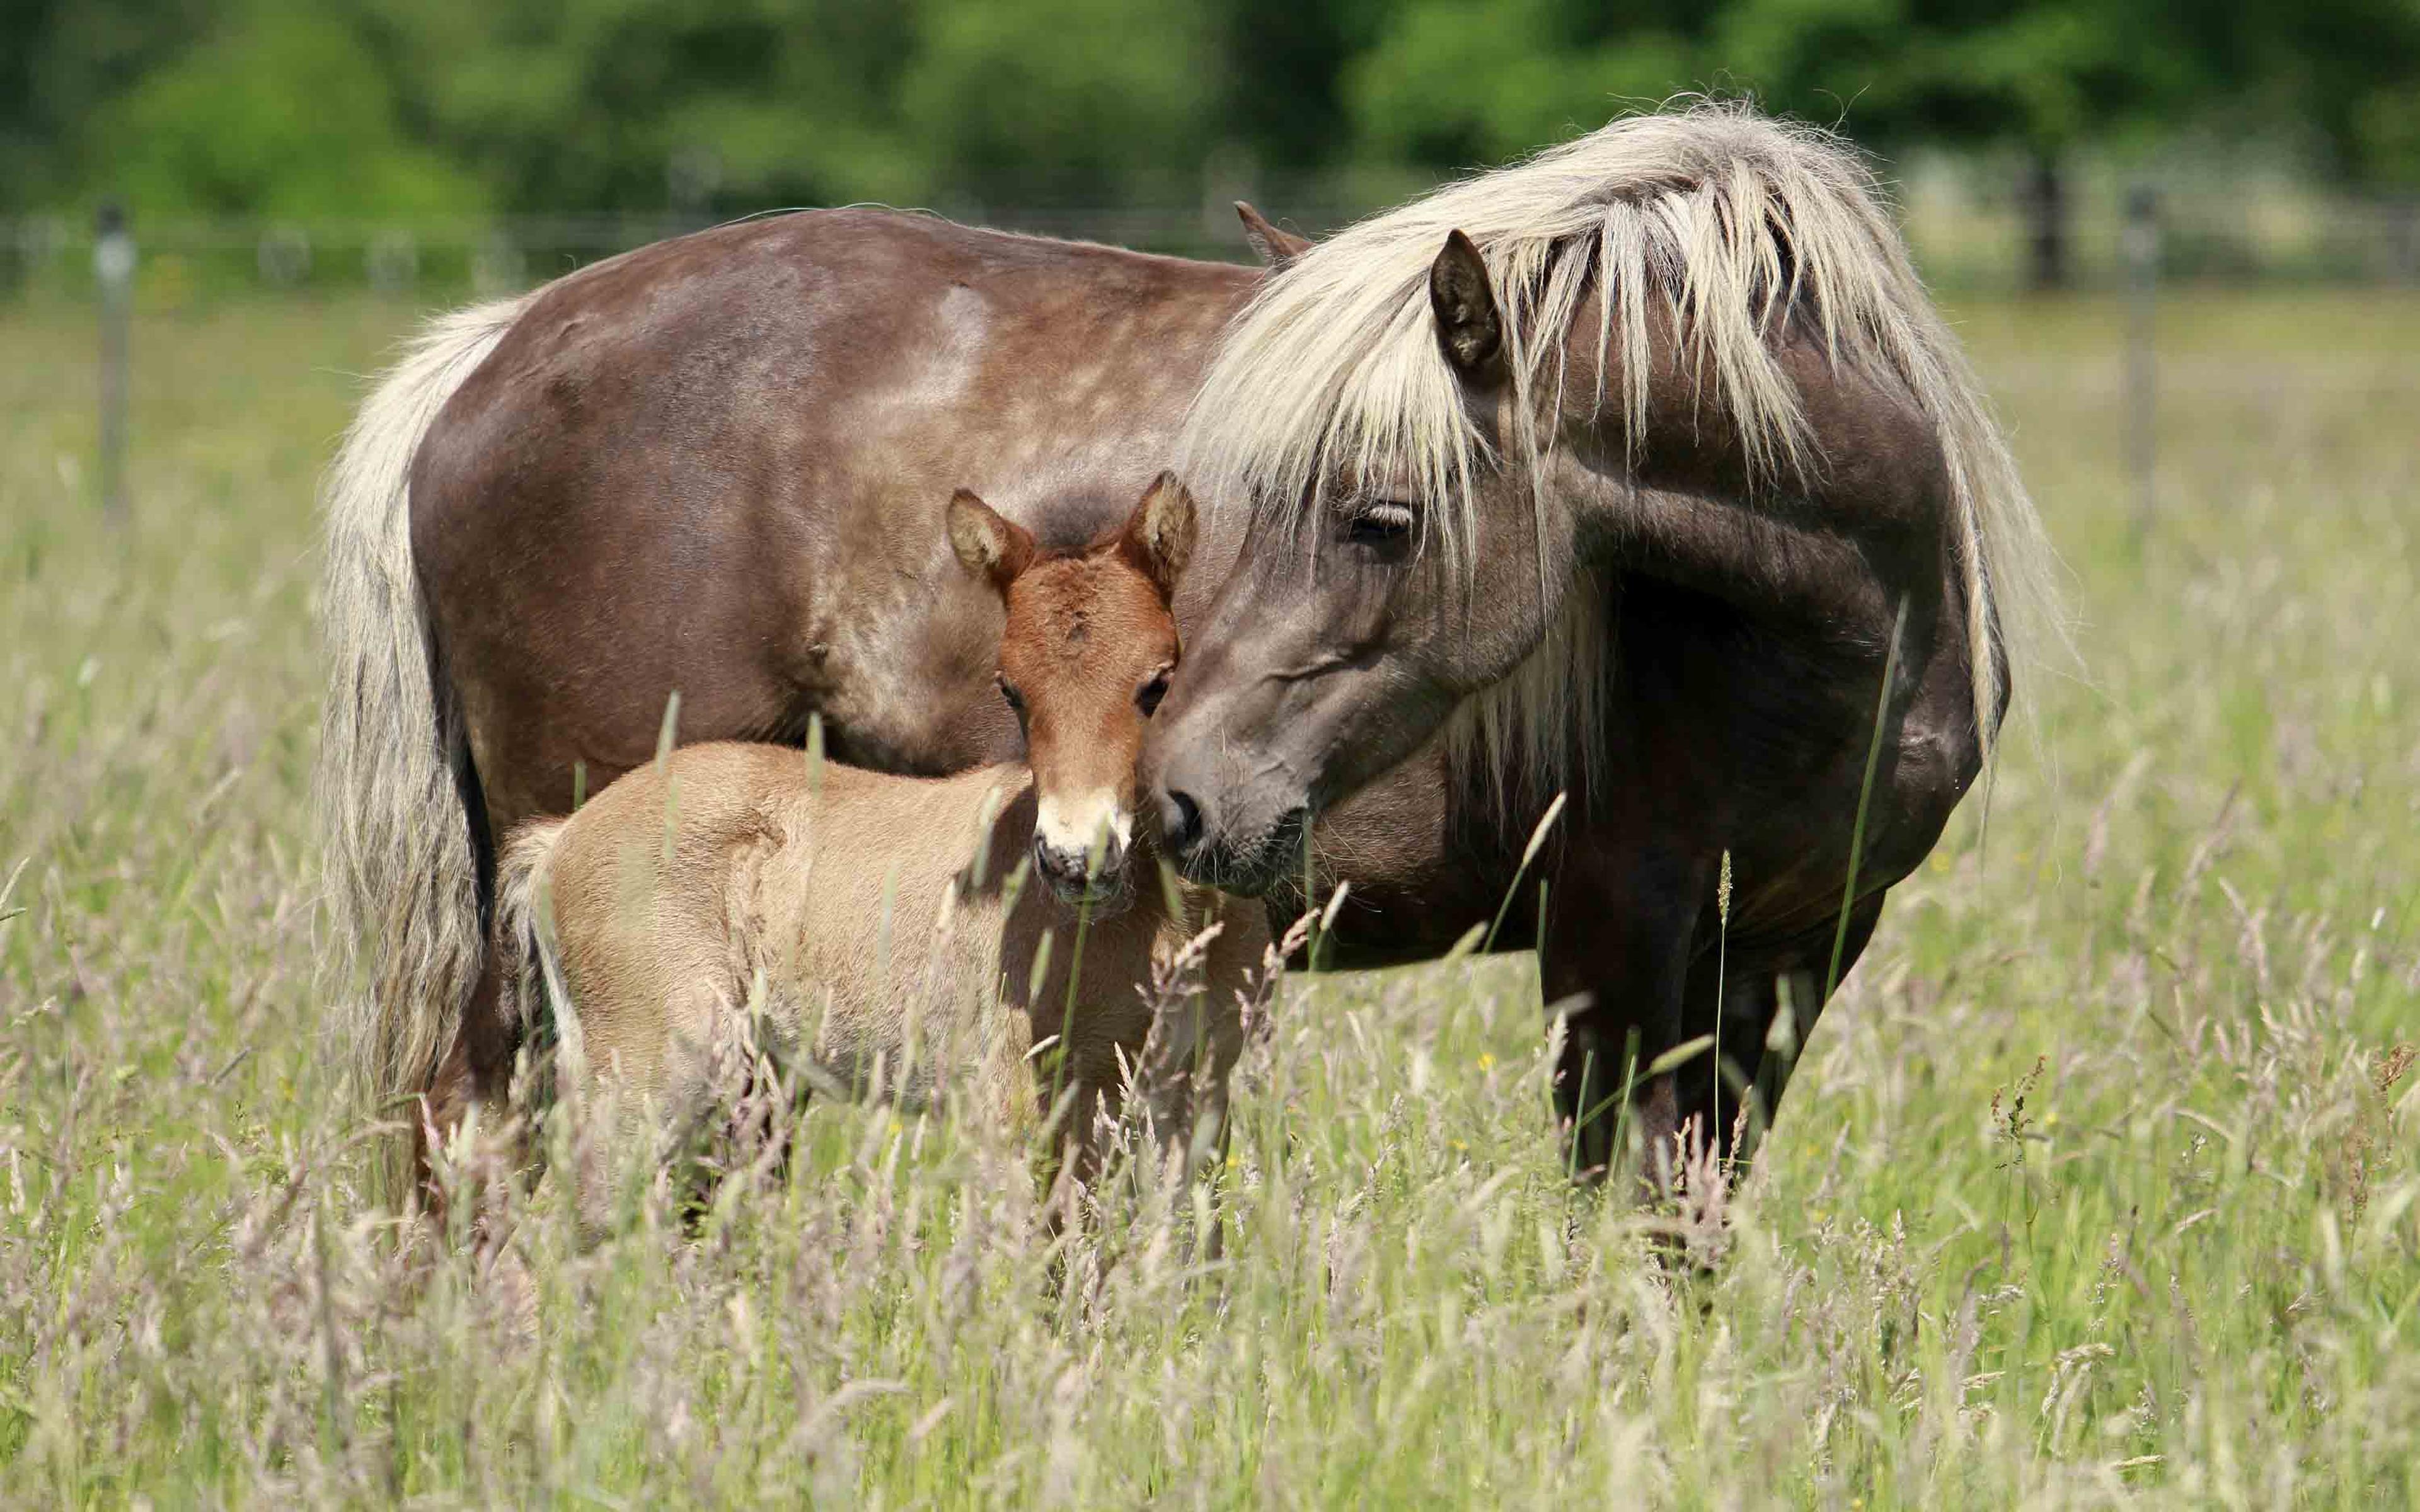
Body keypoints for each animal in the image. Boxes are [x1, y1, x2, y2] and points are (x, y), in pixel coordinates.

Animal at [484, 476, 1258, 1219]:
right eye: (1011, 690)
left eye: (1157, 684)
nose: (1075, 859)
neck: (1161, 925)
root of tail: (559, 840)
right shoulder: (1016, 1101)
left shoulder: (1194, 1102)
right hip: (655, 1069)